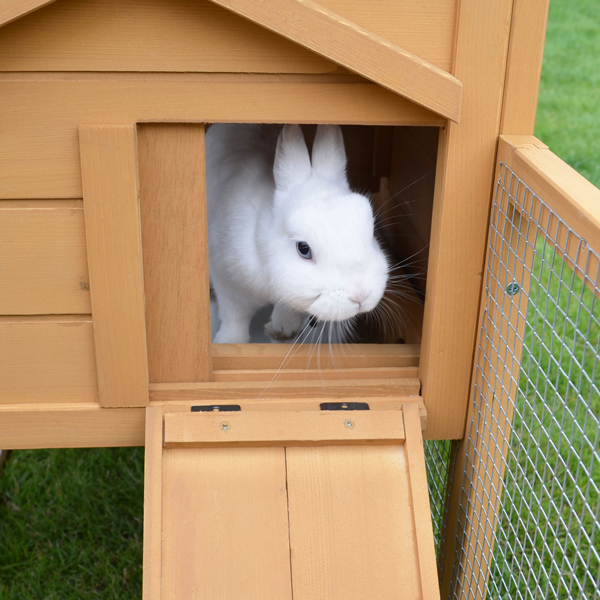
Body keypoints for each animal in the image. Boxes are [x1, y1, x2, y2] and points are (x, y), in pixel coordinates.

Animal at [207, 122, 390, 342]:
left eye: (371, 234)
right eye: (304, 249)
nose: (361, 294)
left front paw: (283, 328)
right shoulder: (226, 282)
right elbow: (234, 317)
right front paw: (228, 342)